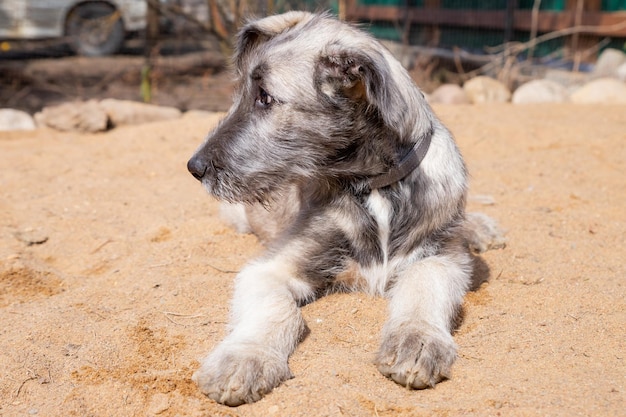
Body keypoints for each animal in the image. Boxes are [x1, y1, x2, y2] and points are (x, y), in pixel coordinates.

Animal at [185, 11, 502, 404]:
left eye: (264, 98)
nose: (194, 167)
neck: (375, 187)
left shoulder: (442, 256)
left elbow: (424, 284)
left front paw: (416, 339)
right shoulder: (270, 268)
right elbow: (277, 309)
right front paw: (244, 357)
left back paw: (478, 226)